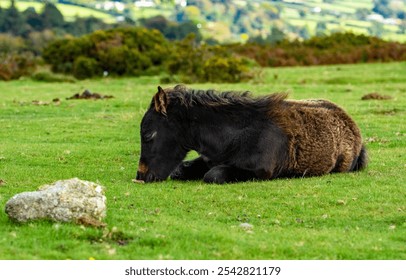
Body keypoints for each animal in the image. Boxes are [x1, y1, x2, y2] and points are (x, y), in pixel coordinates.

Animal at [135, 84, 366, 183]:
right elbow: (180, 170)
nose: (140, 177)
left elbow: (213, 175)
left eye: (148, 135)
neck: (232, 136)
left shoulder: (258, 170)